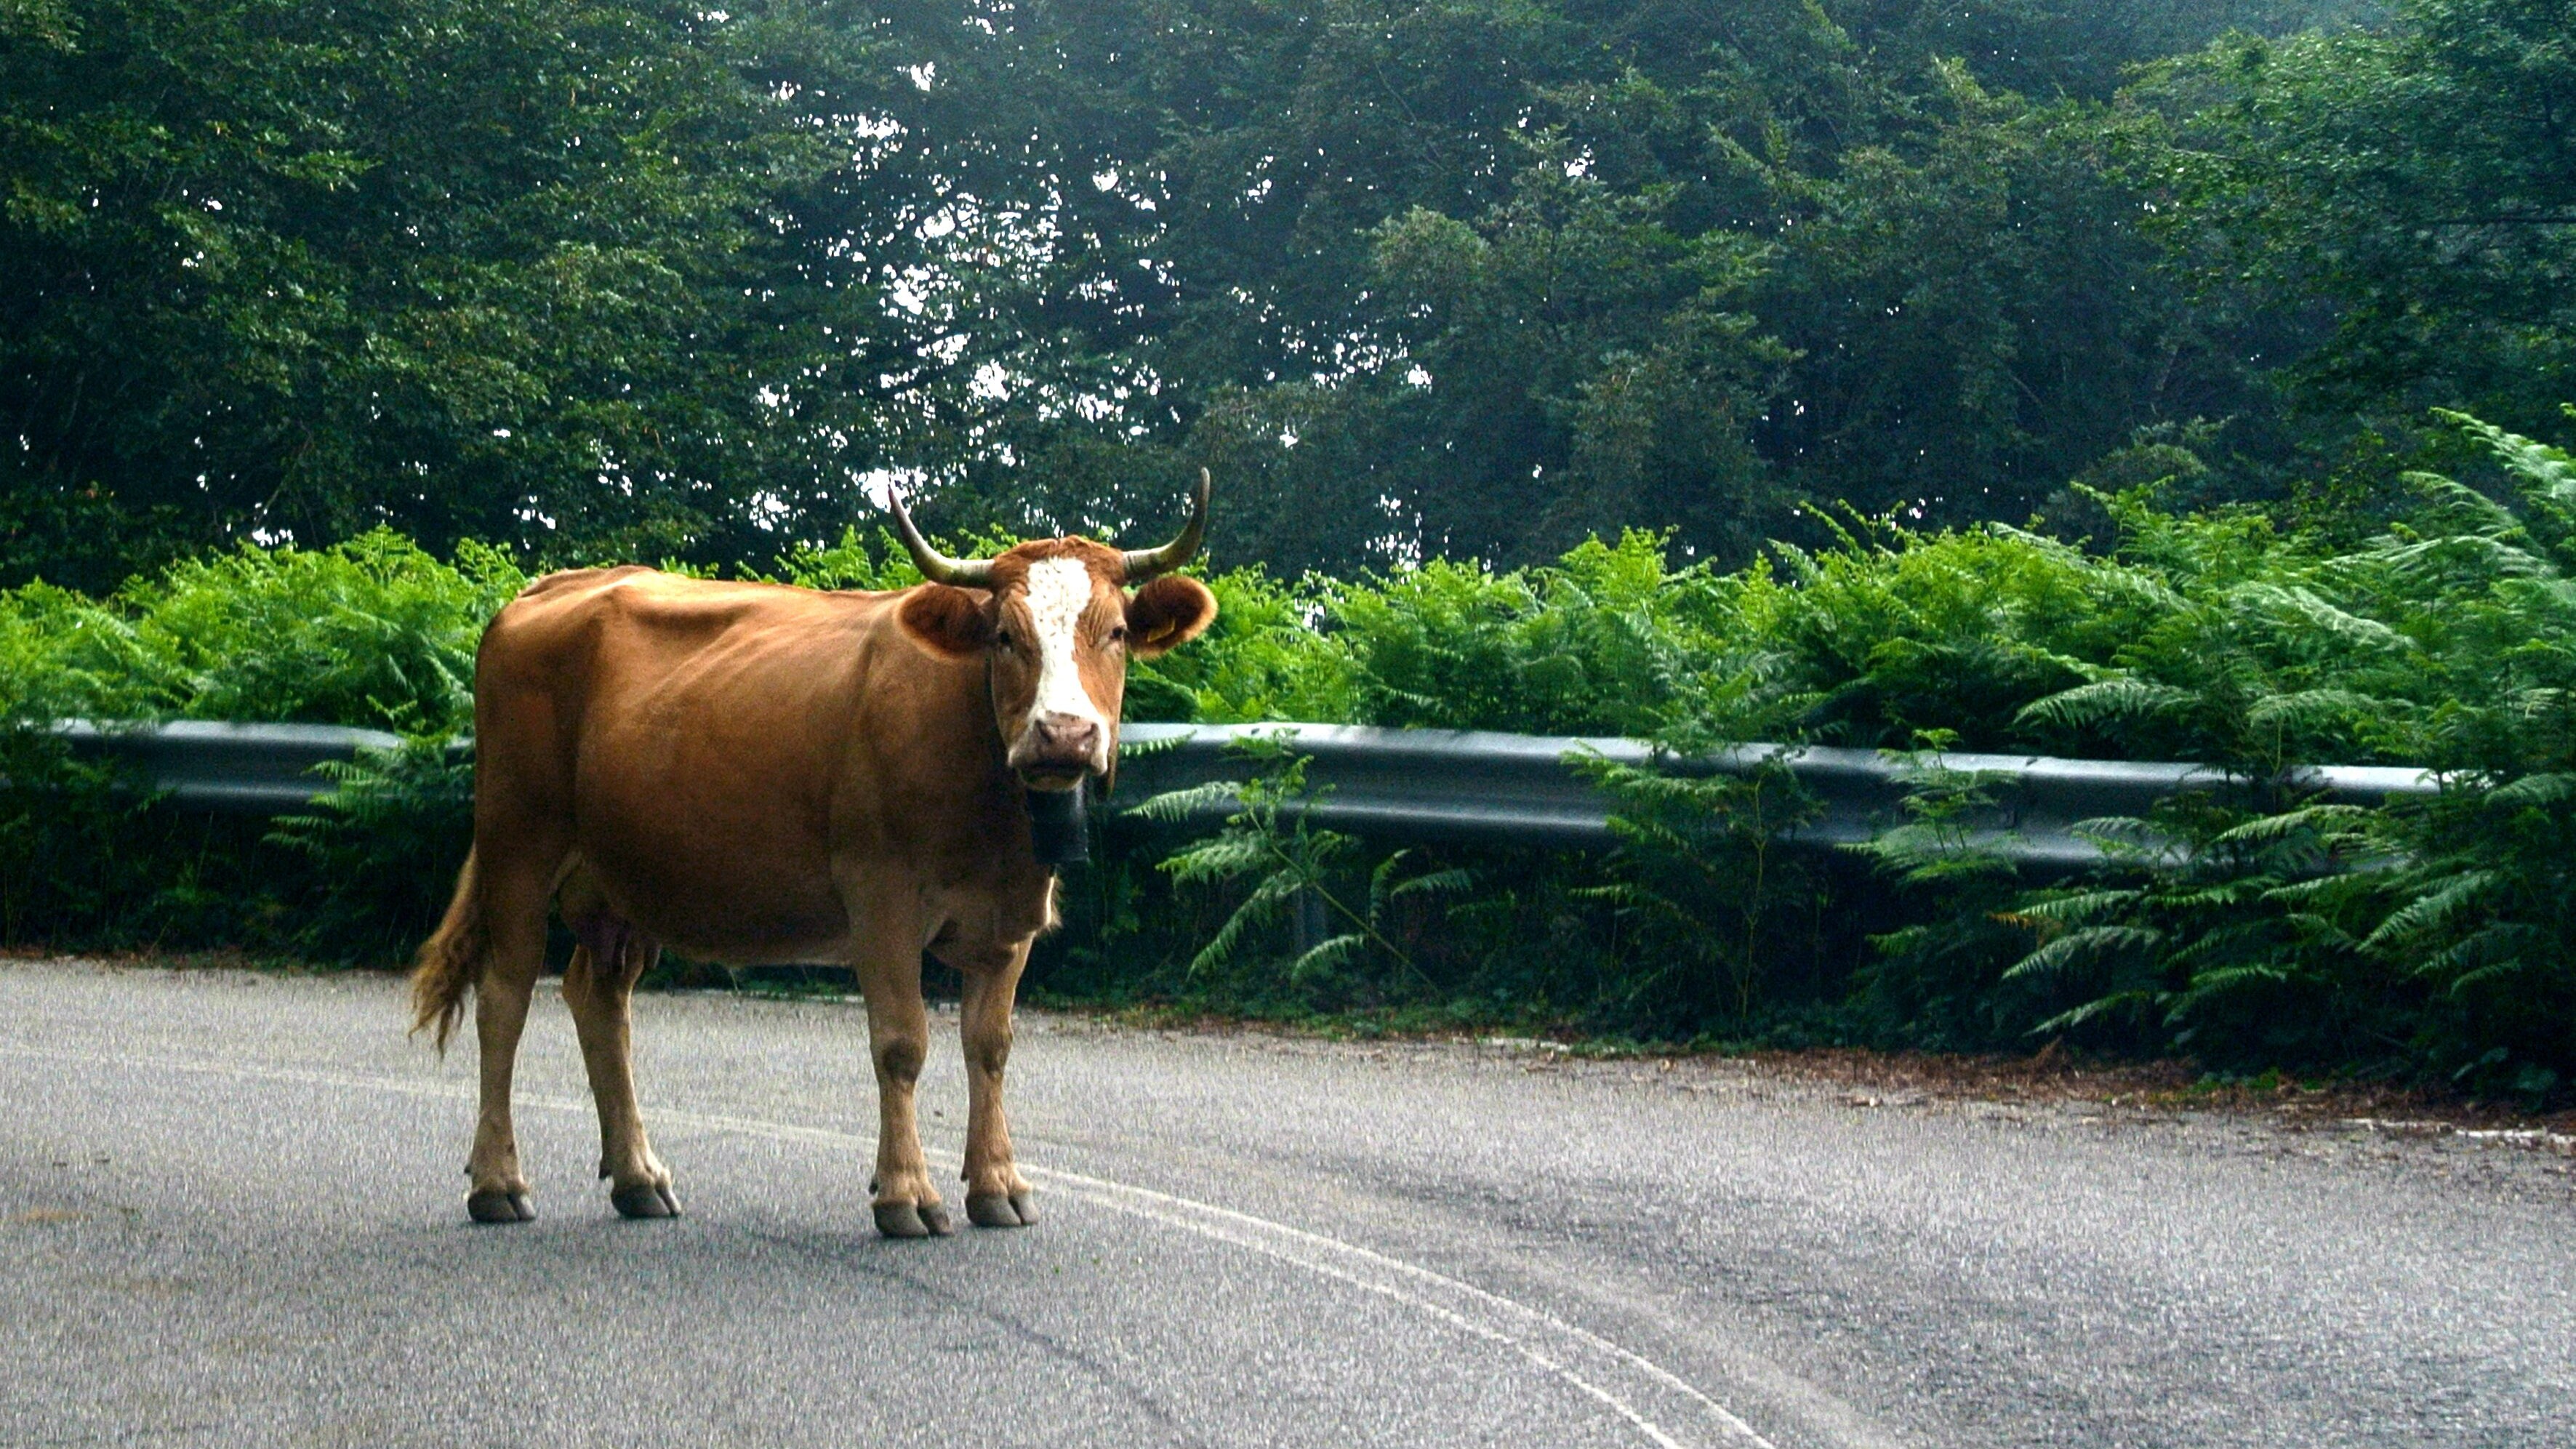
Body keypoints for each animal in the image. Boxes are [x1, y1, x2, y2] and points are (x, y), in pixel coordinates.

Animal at [408, 475, 1218, 1236]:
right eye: (1005, 637)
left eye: (1116, 631)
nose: (1063, 735)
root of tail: (553, 587)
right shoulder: (880, 901)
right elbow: (902, 1044)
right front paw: (906, 1194)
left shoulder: (1009, 917)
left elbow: (989, 1047)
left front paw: (997, 1184)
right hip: (519, 841)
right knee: (505, 998)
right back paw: (498, 1181)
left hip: (618, 879)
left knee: (599, 1001)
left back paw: (638, 1175)